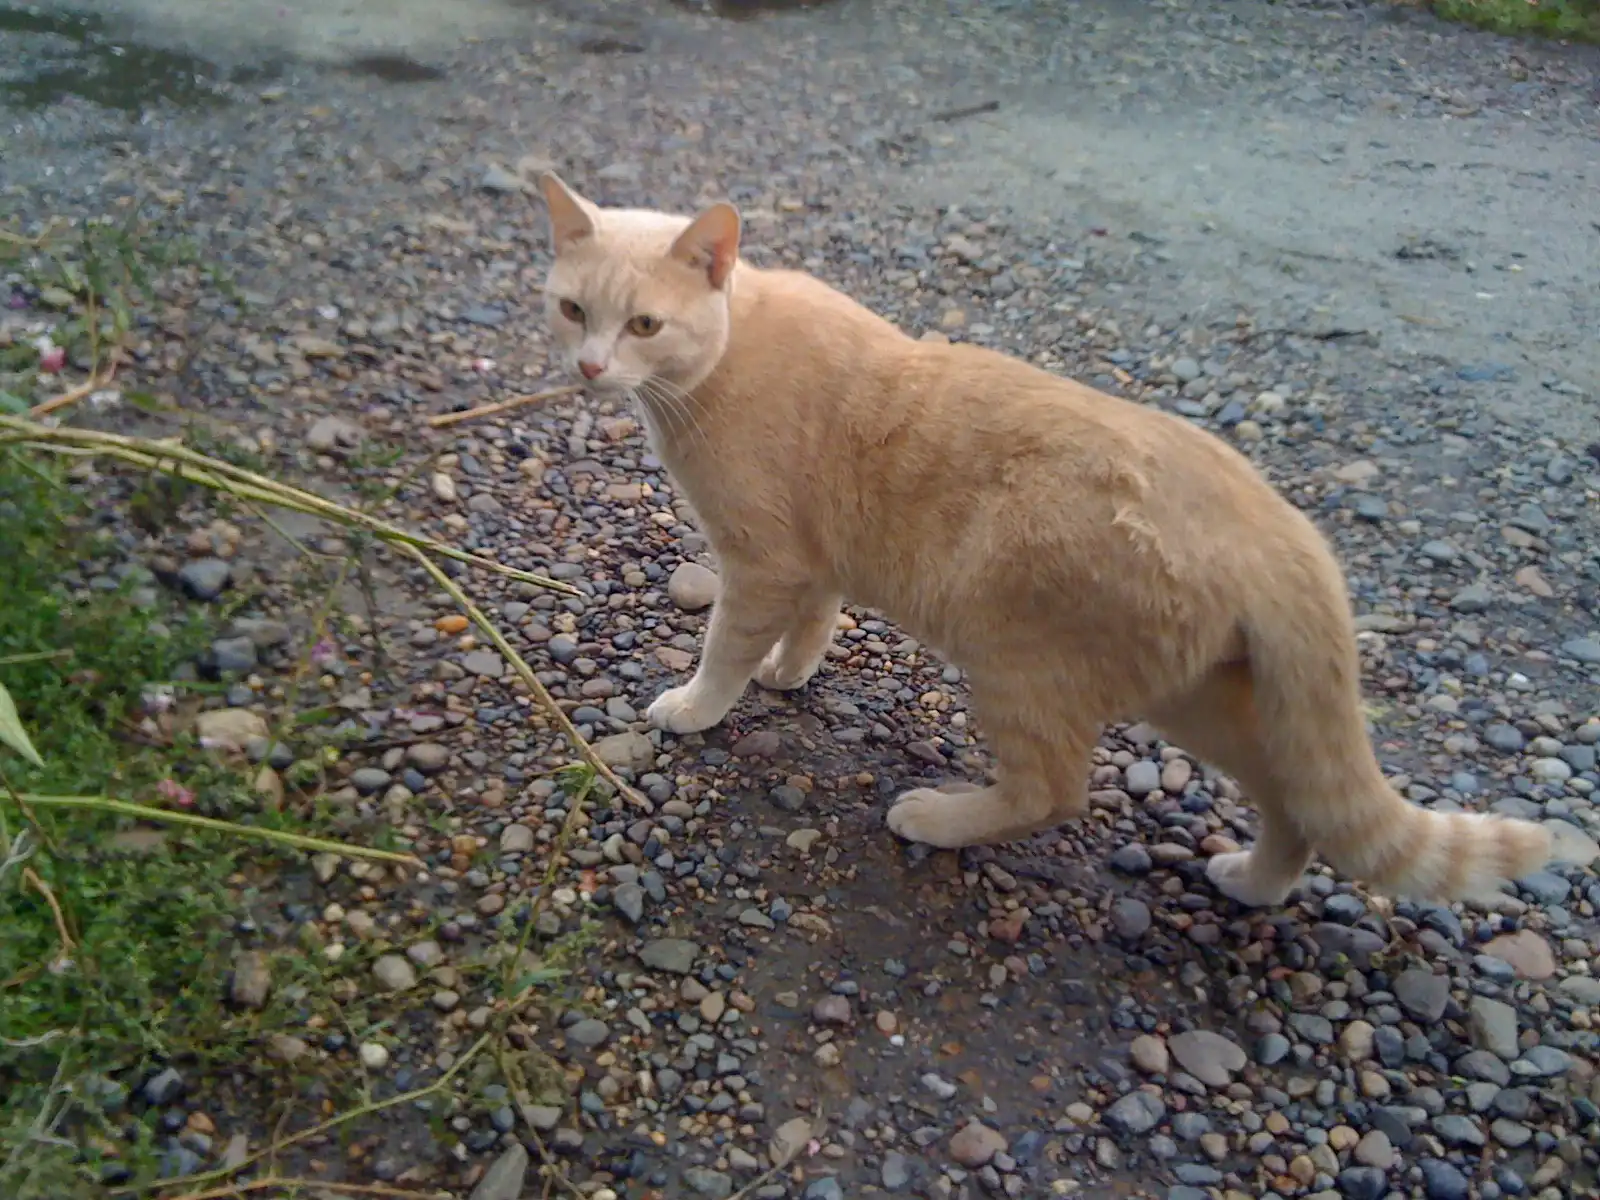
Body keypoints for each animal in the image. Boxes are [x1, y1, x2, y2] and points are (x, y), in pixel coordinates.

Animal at [533, 171, 1553, 907]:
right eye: (573, 310)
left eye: (645, 324)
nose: (589, 367)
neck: (723, 356)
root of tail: (1285, 527)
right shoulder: (814, 557)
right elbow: (815, 622)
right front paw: (792, 672)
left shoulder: (762, 560)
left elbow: (726, 649)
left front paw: (697, 706)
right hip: (1199, 696)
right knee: (1295, 803)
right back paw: (1253, 884)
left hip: (1020, 660)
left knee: (1054, 793)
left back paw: (936, 817)